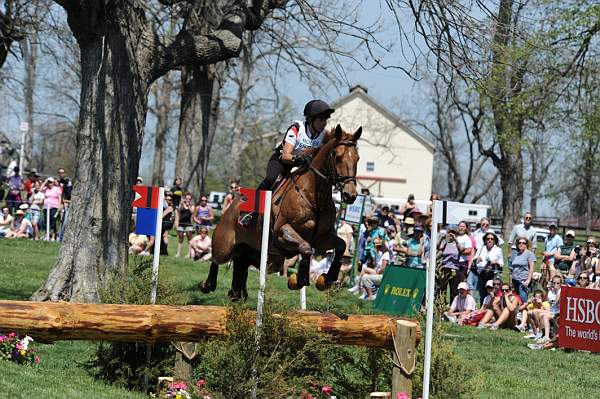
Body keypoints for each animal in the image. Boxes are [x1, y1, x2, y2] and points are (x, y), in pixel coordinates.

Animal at [200, 125, 360, 300]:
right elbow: (305, 248)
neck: (314, 197)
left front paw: (326, 279)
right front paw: (299, 280)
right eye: (338, 158)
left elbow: (340, 245)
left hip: (255, 253)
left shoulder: (321, 238)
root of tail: (231, 205)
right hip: (225, 245)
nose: (350, 195)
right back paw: (207, 285)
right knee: (216, 258)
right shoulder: (281, 232)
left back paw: (236, 293)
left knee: (241, 266)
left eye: (357, 159)